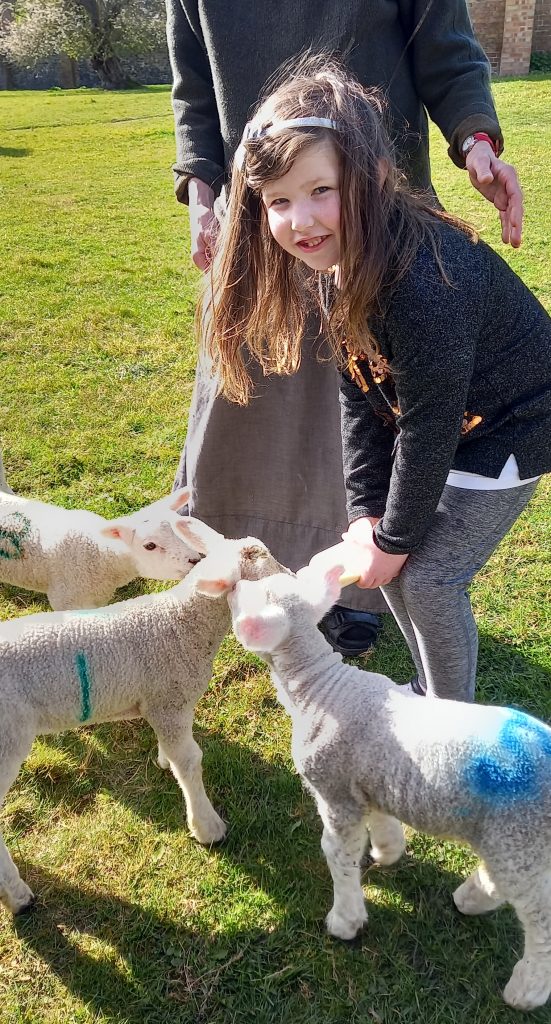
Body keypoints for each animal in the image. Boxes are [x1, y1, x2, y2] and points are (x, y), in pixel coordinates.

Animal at [0, 516, 282, 917]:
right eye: (265, 571)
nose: (296, 577)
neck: (182, 624)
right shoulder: (168, 700)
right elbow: (190, 760)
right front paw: (207, 827)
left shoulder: (164, 705)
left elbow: (175, 751)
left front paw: (164, 760)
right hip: (7, 737)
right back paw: (18, 896)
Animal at [229, 565, 548, 1011]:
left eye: (246, 597)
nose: (232, 583)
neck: (320, 686)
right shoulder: (370, 779)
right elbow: (381, 822)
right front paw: (387, 851)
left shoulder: (335, 791)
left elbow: (338, 853)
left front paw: (345, 922)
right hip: (517, 845)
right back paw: (470, 898)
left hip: (520, 835)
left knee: (540, 916)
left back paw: (527, 988)